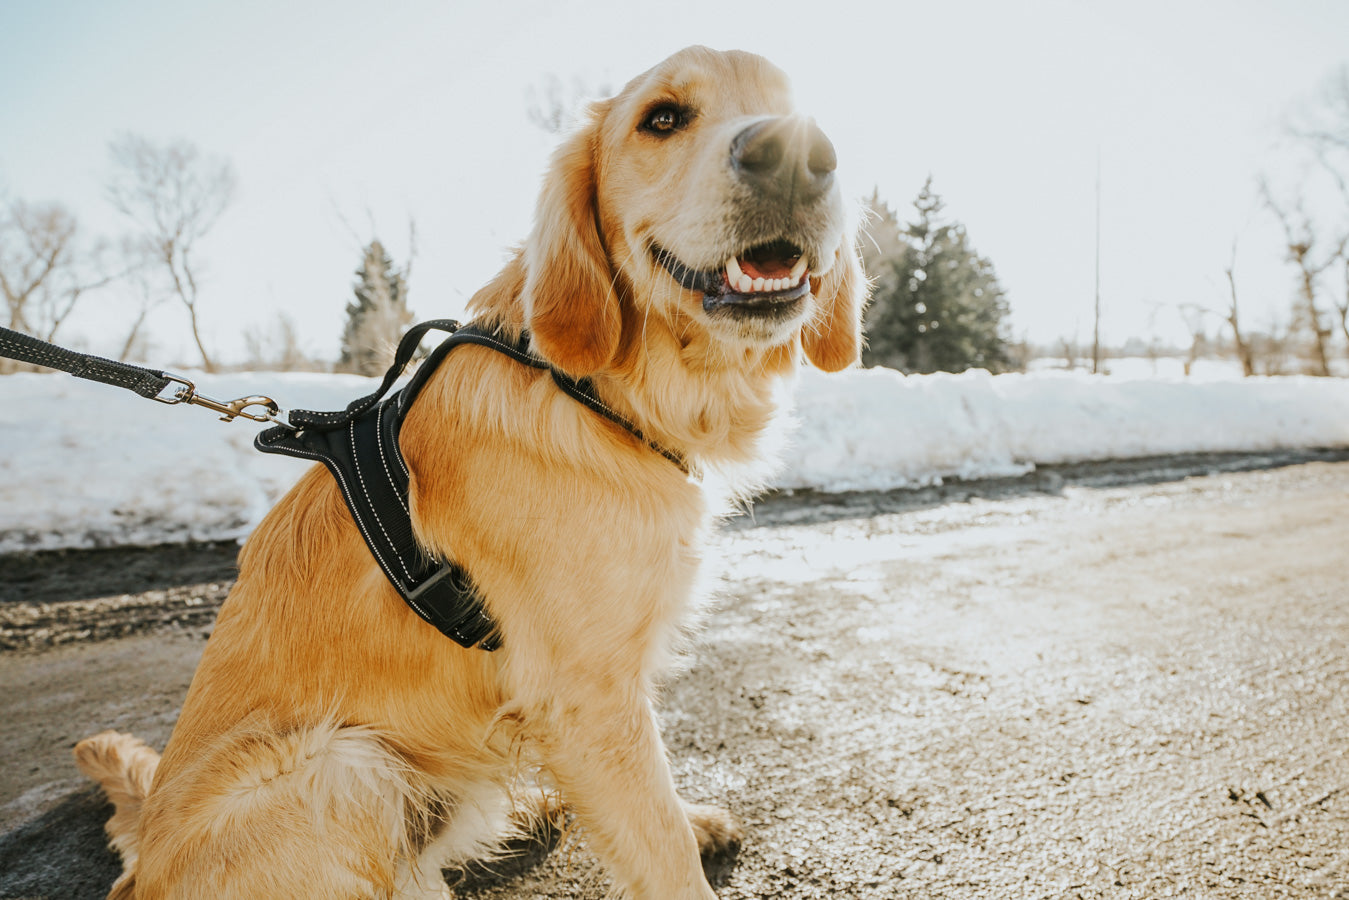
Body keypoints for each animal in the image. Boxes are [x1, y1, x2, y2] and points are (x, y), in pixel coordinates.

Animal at [73, 47, 863, 900]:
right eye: (662, 118)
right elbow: (660, 851)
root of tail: (141, 866)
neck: (587, 386)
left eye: (797, 108)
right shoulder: (587, 694)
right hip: (342, 764)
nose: (796, 157)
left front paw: (688, 818)